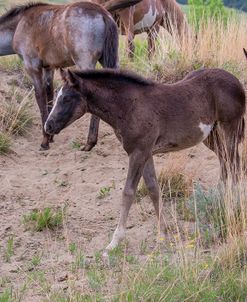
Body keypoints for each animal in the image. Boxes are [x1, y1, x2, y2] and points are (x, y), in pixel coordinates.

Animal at [0, 0, 140, 151]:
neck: (19, 24)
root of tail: (103, 14)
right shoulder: (49, 68)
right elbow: (50, 97)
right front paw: (50, 135)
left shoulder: (32, 67)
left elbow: (41, 98)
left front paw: (45, 140)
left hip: (85, 62)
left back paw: (89, 143)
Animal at [44, 68, 245, 252]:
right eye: (57, 96)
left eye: (66, 98)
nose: (48, 126)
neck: (129, 106)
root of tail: (235, 79)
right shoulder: (146, 153)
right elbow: (153, 189)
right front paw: (162, 235)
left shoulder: (138, 153)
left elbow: (128, 193)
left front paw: (114, 243)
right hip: (211, 136)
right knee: (227, 162)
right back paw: (220, 199)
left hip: (229, 128)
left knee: (234, 164)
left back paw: (233, 204)